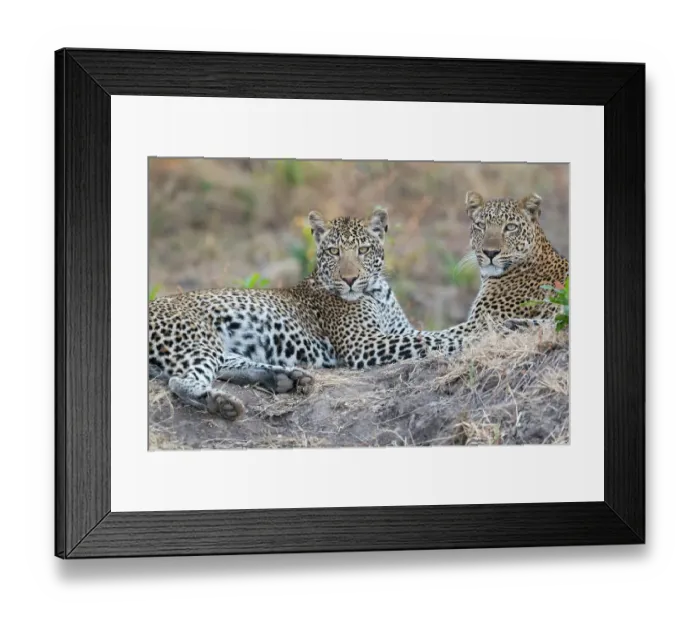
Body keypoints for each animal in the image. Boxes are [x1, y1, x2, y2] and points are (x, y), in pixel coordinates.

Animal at [148, 206, 470, 419]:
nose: (350, 279)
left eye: (363, 250)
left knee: (228, 366)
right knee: (181, 380)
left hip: (218, 347)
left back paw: (286, 378)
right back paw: (221, 402)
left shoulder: (398, 330)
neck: (377, 292)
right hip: (196, 339)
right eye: (333, 252)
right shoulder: (362, 345)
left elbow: (432, 334)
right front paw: (478, 331)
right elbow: (433, 338)